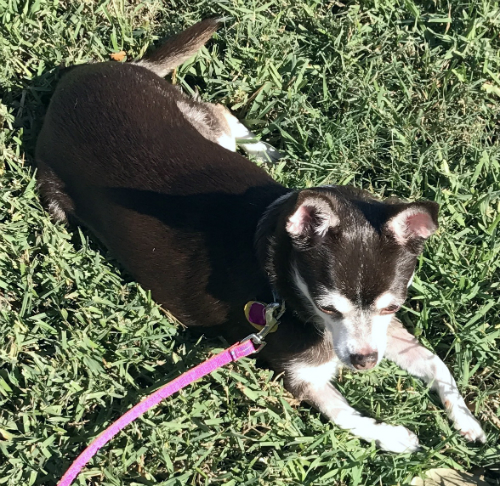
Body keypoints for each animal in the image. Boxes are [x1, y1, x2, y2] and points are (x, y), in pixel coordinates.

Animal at [35, 19, 485, 453]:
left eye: (393, 307)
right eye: (328, 308)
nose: (363, 362)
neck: (281, 283)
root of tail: (82, 74)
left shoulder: (384, 330)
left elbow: (436, 363)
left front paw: (467, 421)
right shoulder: (303, 376)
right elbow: (347, 416)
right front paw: (393, 437)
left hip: (197, 123)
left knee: (219, 113)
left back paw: (265, 150)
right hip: (56, 201)